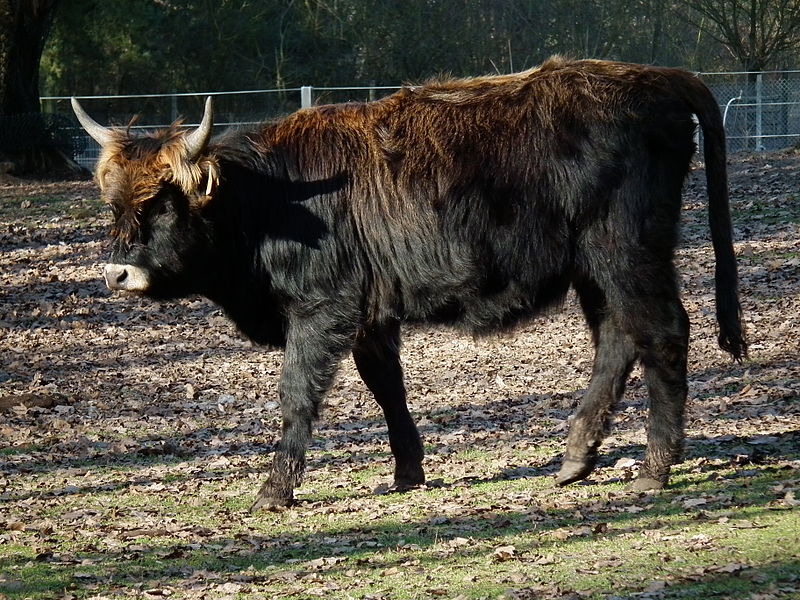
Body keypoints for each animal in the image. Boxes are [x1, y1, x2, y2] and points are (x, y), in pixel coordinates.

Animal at [72, 57, 746, 512]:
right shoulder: (371, 315)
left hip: (627, 254)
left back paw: (655, 467)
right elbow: (386, 387)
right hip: (595, 269)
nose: (117, 271)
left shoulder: (322, 309)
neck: (271, 198)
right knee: (618, 340)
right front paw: (407, 471)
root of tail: (658, 77)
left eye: (164, 202)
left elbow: (297, 394)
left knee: (662, 333)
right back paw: (577, 456)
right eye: (114, 203)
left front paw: (274, 488)